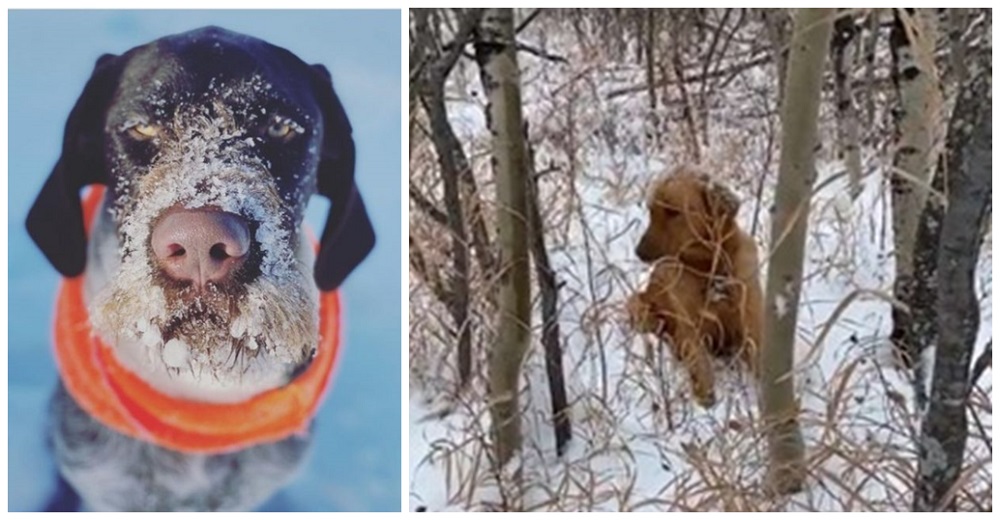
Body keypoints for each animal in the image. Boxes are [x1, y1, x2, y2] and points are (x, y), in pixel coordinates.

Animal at [628, 165, 760, 408]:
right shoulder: (689, 328)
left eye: (672, 212)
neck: (710, 268)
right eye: (651, 211)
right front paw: (705, 398)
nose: (638, 252)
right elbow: (700, 362)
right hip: (636, 304)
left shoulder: (752, 320)